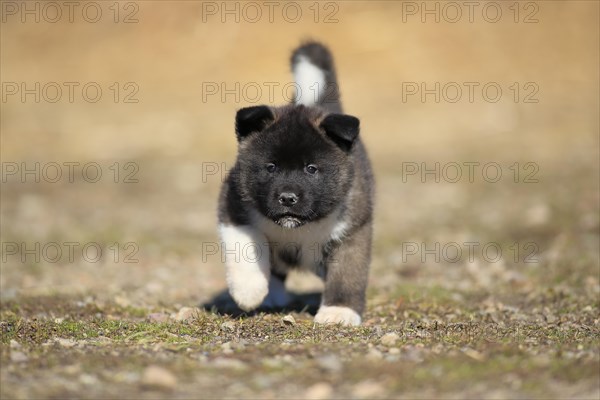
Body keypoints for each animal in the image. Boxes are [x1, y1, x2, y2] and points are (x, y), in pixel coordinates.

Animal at [218, 41, 372, 324]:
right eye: (271, 167)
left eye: (311, 169)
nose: (287, 198)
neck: (299, 226)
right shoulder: (232, 205)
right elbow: (246, 247)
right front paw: (249, 291)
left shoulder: (353, 230)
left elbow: (347, 274)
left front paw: (340, 311)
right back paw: (271, 294)